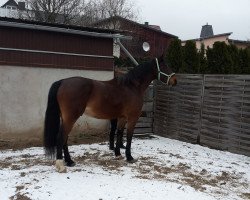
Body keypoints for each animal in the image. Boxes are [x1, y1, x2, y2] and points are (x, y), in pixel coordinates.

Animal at [44, 55, 177, 172]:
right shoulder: (132, 118)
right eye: (165, 66)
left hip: (66, 118)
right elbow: (129, 136)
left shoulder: (122, 117)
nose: (175, 81)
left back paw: (70, 161)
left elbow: (119, 133)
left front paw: (118, 154)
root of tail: (63, 82)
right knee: (61, 137)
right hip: (71, 117)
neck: (131, 87)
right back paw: (61, 165)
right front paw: (129, 157)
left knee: (65, 138)